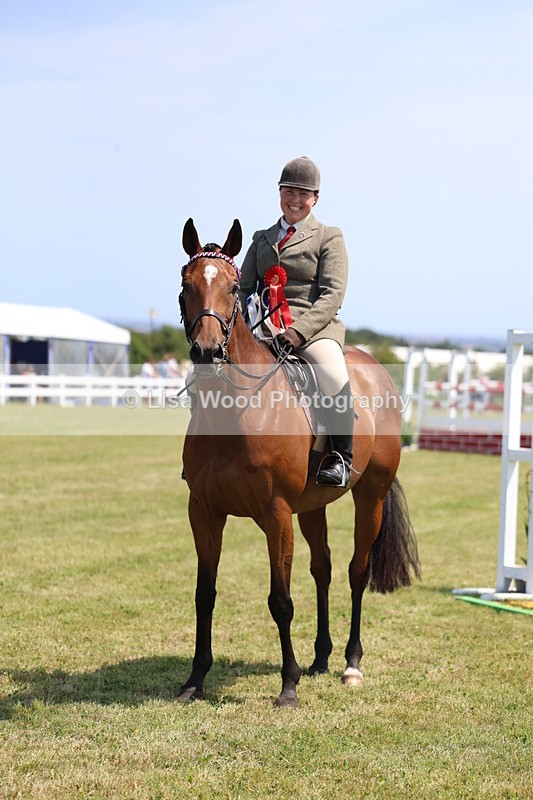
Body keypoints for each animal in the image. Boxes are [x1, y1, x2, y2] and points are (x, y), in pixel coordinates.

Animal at [177, 218, 420, 708]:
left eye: (231, 288)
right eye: (185, 284)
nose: (207, 353)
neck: (236, 409)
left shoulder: (276, 514)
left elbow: (281, 601)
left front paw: (287, 686)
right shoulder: (204, 511)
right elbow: (205, 593)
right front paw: (195, 679)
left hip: (370, 497)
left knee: (356, 572)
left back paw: (350, 663)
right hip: (312, 507)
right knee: (322, 569)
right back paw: (321, 658)